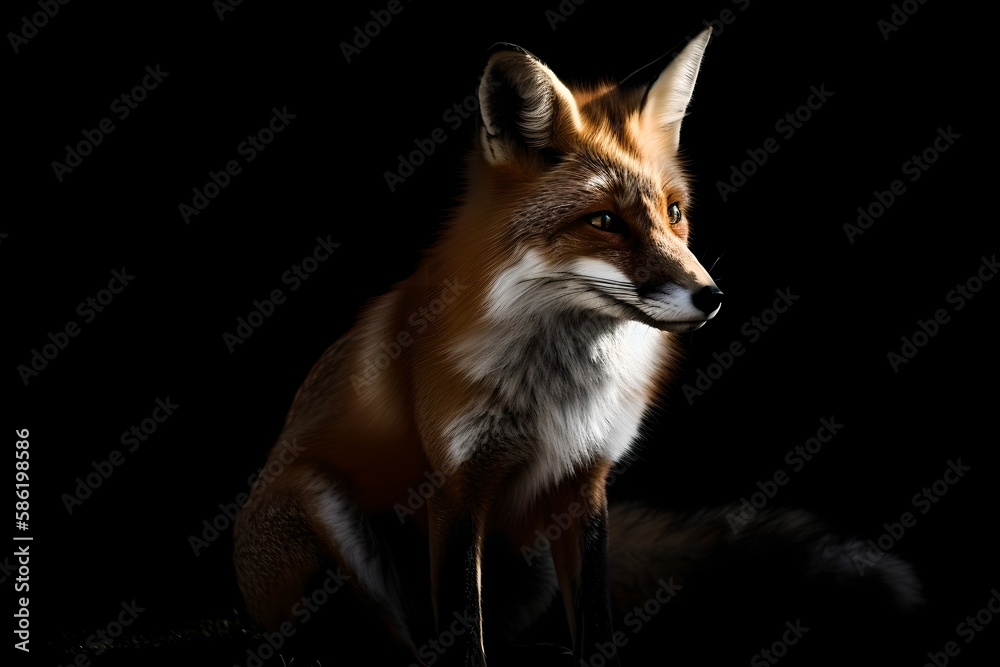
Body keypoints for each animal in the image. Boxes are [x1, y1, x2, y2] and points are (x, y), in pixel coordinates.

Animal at [233, 28, 923, 666]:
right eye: (605, 222)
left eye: (675, 212)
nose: (712, 296)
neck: (557, 396)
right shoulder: (456, 490)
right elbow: (463, 635)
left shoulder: (586, 482)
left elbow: (594, 617)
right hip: (315, 501)